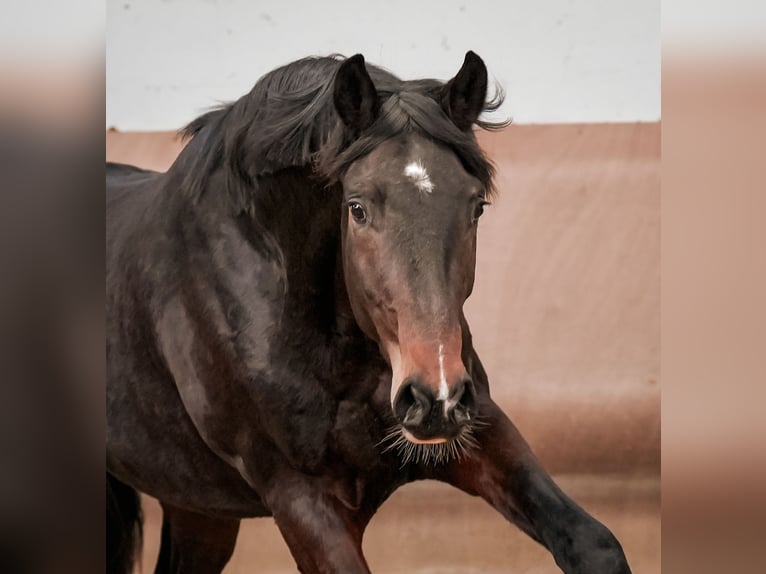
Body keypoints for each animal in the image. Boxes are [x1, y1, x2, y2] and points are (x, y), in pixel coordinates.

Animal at [106, 52, 631, 574]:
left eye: (476, 206)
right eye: (357, 208)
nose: (434, 395)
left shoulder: (475, 428)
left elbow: (592, 542)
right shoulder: (300, 496)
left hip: (201, 510)